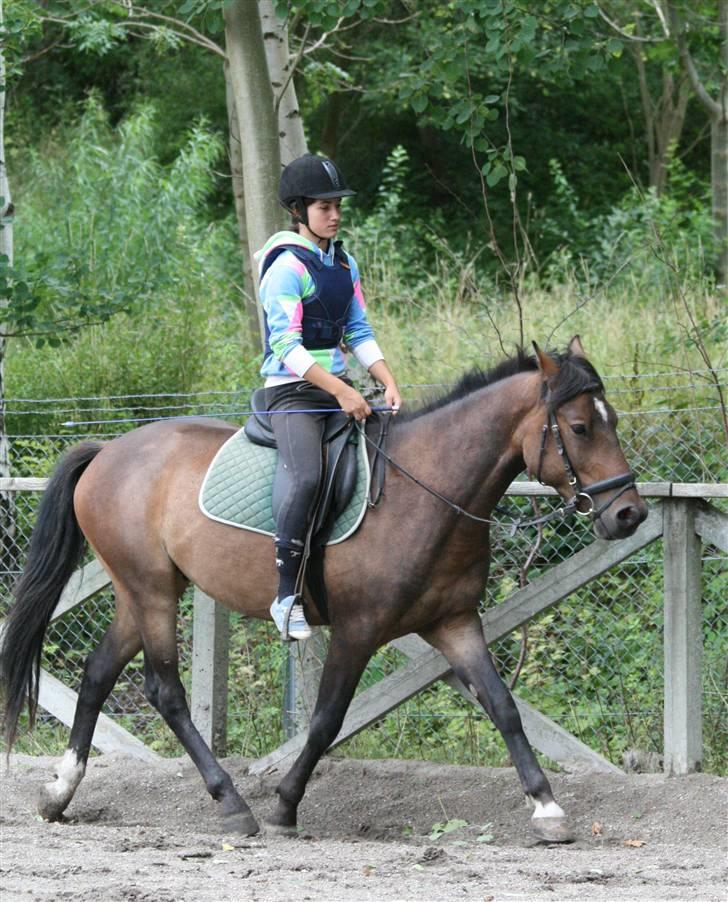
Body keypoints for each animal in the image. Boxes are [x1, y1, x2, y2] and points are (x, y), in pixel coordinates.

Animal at [1, 336, 648, 844]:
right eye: (580, 427)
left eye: (612, 421)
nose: (630, 515)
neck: (428, 491)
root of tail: (108, 451)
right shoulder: (359, 629)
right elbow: (327, 719)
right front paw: (286, 805)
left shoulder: (454, 623)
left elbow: (504, 707)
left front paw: (548, 808)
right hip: (153, 592)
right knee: (165, 692)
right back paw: (232, 804)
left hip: (141, 592)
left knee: (97, 672)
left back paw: (59, 793)